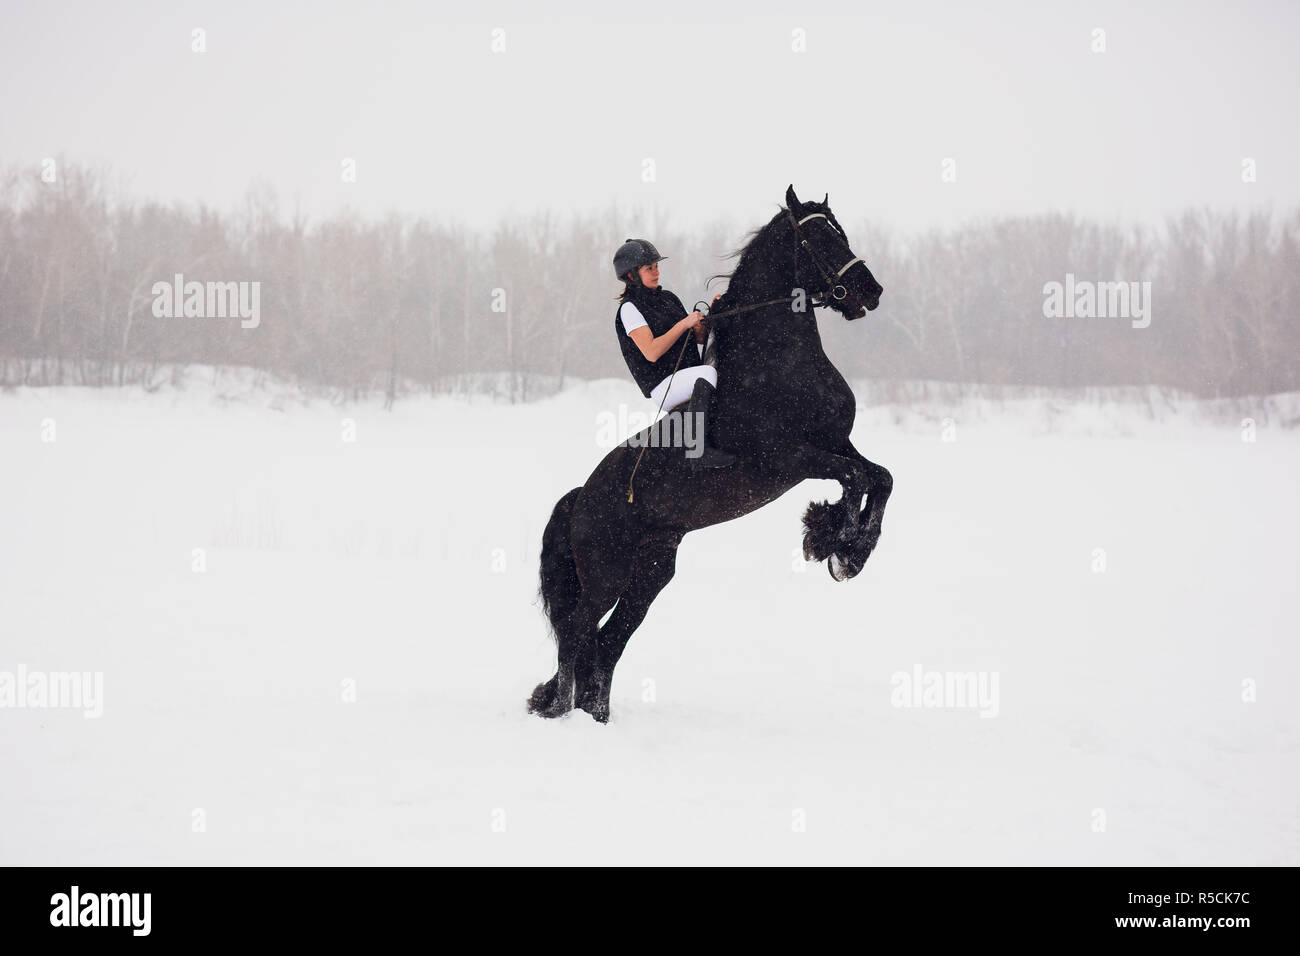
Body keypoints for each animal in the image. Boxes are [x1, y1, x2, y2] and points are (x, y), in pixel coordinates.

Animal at [530, 185, 891, 723]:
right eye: (817, 237)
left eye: (840, 232)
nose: (871, 290)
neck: (780, 366)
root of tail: (582, 496)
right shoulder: (794, 459)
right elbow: (856, 479)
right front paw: (832, 542)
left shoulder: (835, 444)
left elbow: (879, 478)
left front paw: (849, 548)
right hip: (606, 575)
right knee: (578, 633)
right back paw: (559, 709)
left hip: (650, 573)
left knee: (608, 642)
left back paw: (595, 717)